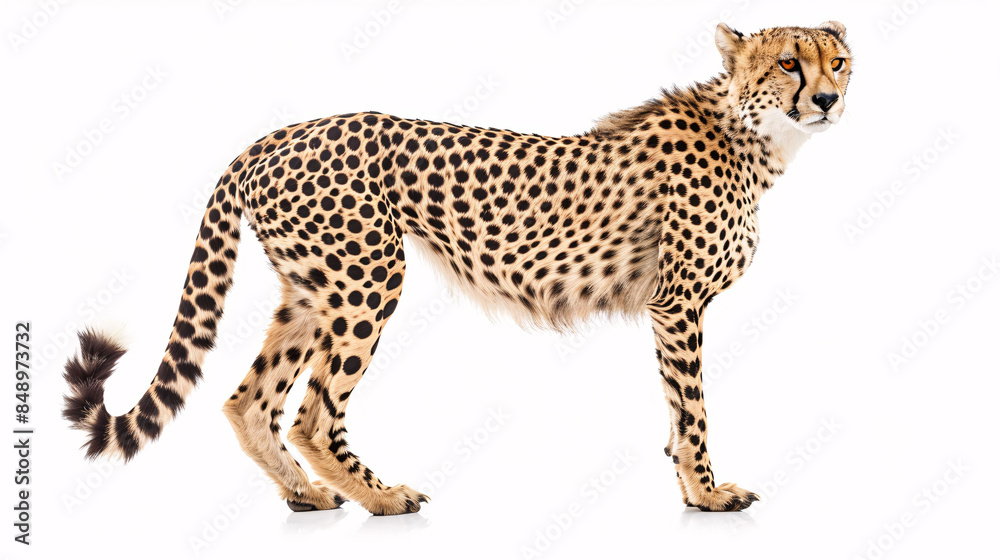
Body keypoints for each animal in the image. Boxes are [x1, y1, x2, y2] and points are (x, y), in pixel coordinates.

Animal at [63, 21, 852, 514]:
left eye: (837, 61)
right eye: (789, 61)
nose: (828, 99)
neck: (755, 135)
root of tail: (280, 133)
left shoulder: (669, 308)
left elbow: (676, 411)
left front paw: (693, 490)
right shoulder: (677, 304)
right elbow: (693, 410)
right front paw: (708, 493)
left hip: (310, 290)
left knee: (249, 400)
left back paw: (309, 495)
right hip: (367, 279)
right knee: (315, 415)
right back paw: (381, 497)